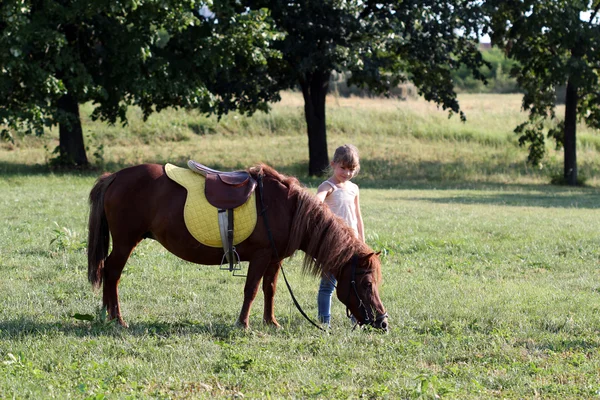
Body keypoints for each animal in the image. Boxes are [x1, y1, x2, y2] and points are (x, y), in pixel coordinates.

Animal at [88, 164, 390, 330]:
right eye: (366, 284)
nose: (383, 322)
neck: (287, 209)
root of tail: (115, 176)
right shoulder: (261, 256)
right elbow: (252, 289)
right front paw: (243, 324)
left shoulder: (274, 259)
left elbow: (270, 289)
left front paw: (271, 322)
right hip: (126, 242)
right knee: (112, 273)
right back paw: (117, 318)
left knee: (108, 272)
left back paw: (106, 314)